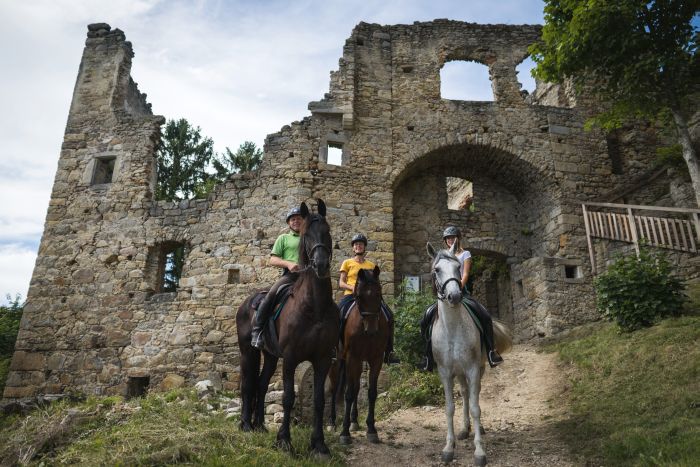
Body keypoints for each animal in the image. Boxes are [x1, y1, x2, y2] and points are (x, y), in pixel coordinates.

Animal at [237, 198, 340, 458]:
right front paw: (284, 441)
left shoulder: (323, 358)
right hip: (248, 351)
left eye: (327, 231)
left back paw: (260, 425)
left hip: (271, 356)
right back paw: (246, 425)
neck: (314, 307)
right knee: (248, 384)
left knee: (261, 384)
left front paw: (319, 444)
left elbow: (319, 400)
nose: (320, 264)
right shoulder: (292, 358)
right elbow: (288, 398)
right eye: (305, 234)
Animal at [328, 266, 388, 446]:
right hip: (338, 363)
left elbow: (371, 393)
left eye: (379, 294)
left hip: (359, 363)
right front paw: (344, 433)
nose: (372, 330)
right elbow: (347, 394)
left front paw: (371, 430)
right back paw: (332, 423)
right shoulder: (352, 358)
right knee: (334, 390)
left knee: (355, 388)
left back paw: (354, 421)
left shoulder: (376, 359)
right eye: (359, 296)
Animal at [424, 243, 512, 466]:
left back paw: (477, 428)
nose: (454, 296)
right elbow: (449, 408)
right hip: (459, 372)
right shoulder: (445, 372)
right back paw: (464, 429)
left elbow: (475, 407)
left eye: (458, 267)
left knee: (474, 394)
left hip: (477, 368)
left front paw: (479, 451)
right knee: (464, 393)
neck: (453, 328)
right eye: (437, 270)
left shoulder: (472, 369)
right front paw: (449, 447)